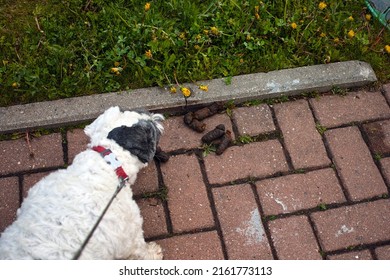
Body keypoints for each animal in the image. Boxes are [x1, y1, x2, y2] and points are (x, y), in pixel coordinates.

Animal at [0, 106, 164, 260]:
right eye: (151, 128)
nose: (157, 116)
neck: (106, 163)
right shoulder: (129, 236)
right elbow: (140, 251)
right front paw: (154, 252)